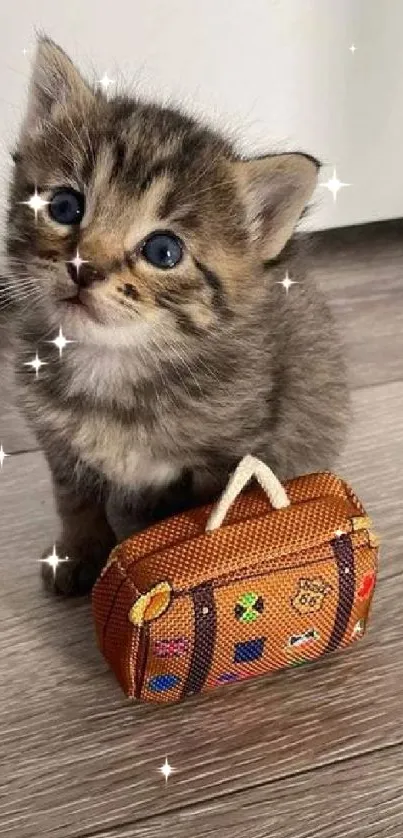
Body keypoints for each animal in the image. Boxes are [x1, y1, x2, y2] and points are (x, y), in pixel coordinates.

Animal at [3, 36, 350, 592]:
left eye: (163, 251)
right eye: (64, 207)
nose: (84, 269)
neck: (114, 365)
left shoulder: (228, 451)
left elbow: (204, 514)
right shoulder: (57, 441)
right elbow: (74, 499)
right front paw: (79, 551)